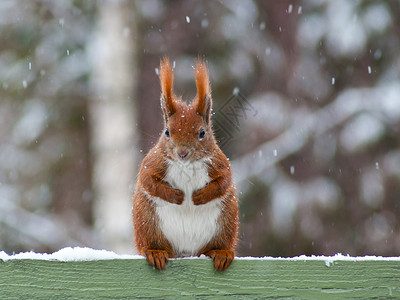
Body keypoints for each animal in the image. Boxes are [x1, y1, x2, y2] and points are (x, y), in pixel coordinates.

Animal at [133, 56, 239, 272]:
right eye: (167, 132)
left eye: (202, 133)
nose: (182, 153)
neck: (186, 165)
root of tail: (186, 251)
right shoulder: (153, 162)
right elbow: (148, 180)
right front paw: (177, 196)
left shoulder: (220, 164)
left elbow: (223, 182)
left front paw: (199, 196)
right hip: (147, 222)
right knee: (153, 244)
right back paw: (156, 252)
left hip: (226, 223)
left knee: (215, 246)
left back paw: (221, 253)